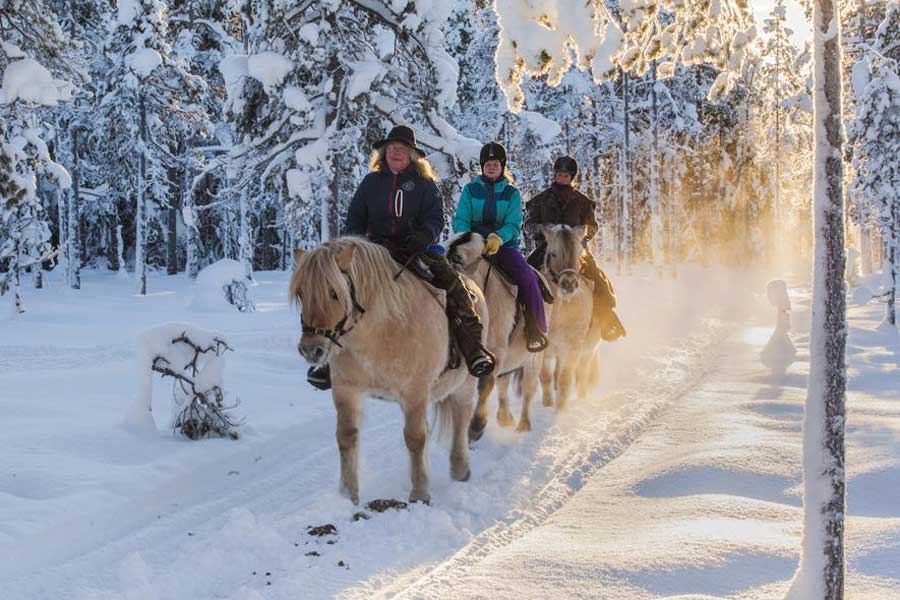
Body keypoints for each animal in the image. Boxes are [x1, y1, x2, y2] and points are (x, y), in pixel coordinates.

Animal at [290, 237, 486, 504]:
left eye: (334, 293)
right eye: (300, 293)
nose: (311, 350)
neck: (379, 331)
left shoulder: (415, 391)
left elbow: (415, 438)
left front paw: (420, 494)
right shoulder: (346, 390)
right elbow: (346, 437)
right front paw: (348, 496)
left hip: (464, 383)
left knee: (461, 416)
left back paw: (460, 469)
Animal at [536, 225, 596, 412]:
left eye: (579, 253)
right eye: (553, 253)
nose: (569, 284)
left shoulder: (575, 344)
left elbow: (566, 377)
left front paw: (560, 408)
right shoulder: (545, 345)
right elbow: (545, 375)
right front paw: (547, 403)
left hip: (589, 347)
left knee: (583, 370)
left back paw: (582, 397)